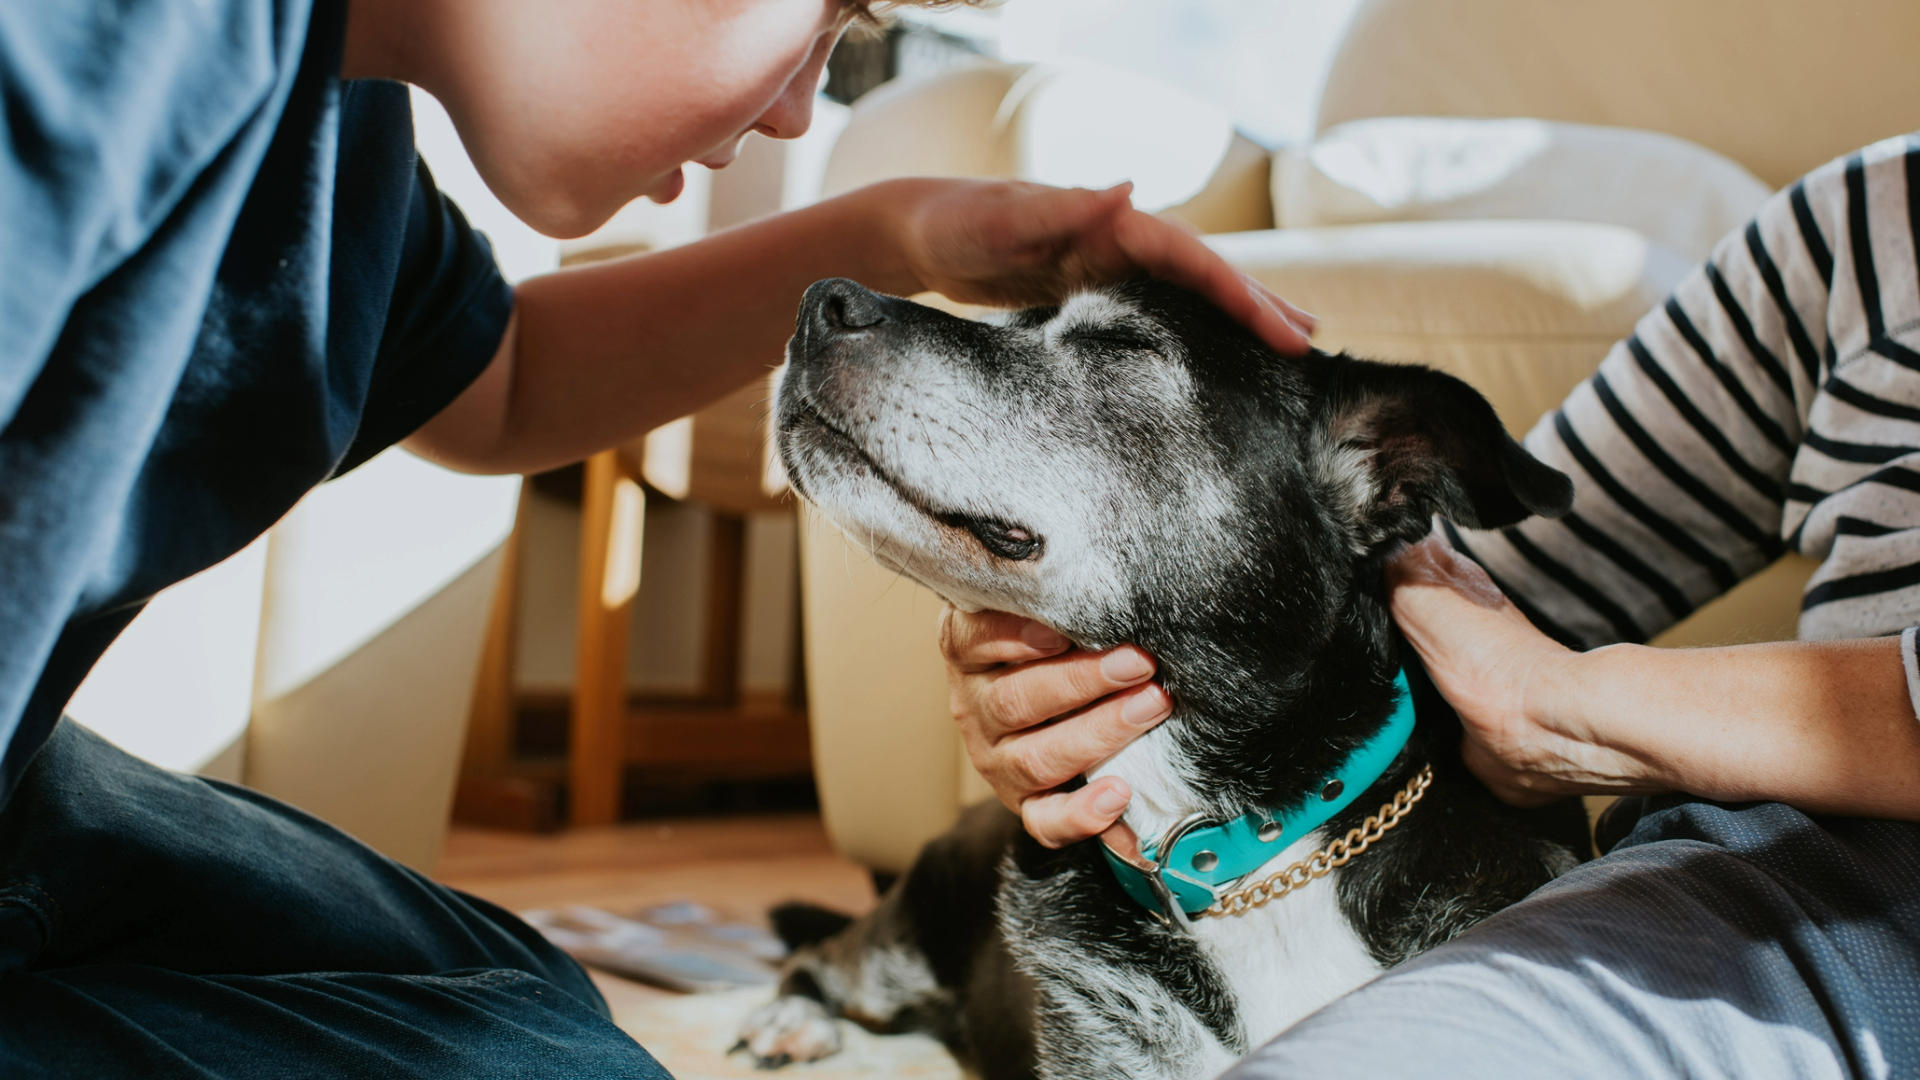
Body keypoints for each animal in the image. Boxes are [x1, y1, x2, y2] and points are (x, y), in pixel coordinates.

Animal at [741, 272, 1597, 1068]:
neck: (1243, 864)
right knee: (816, 959)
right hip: (902, 943)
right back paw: (792, 1020)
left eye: (1119, 343)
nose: (820, 300)